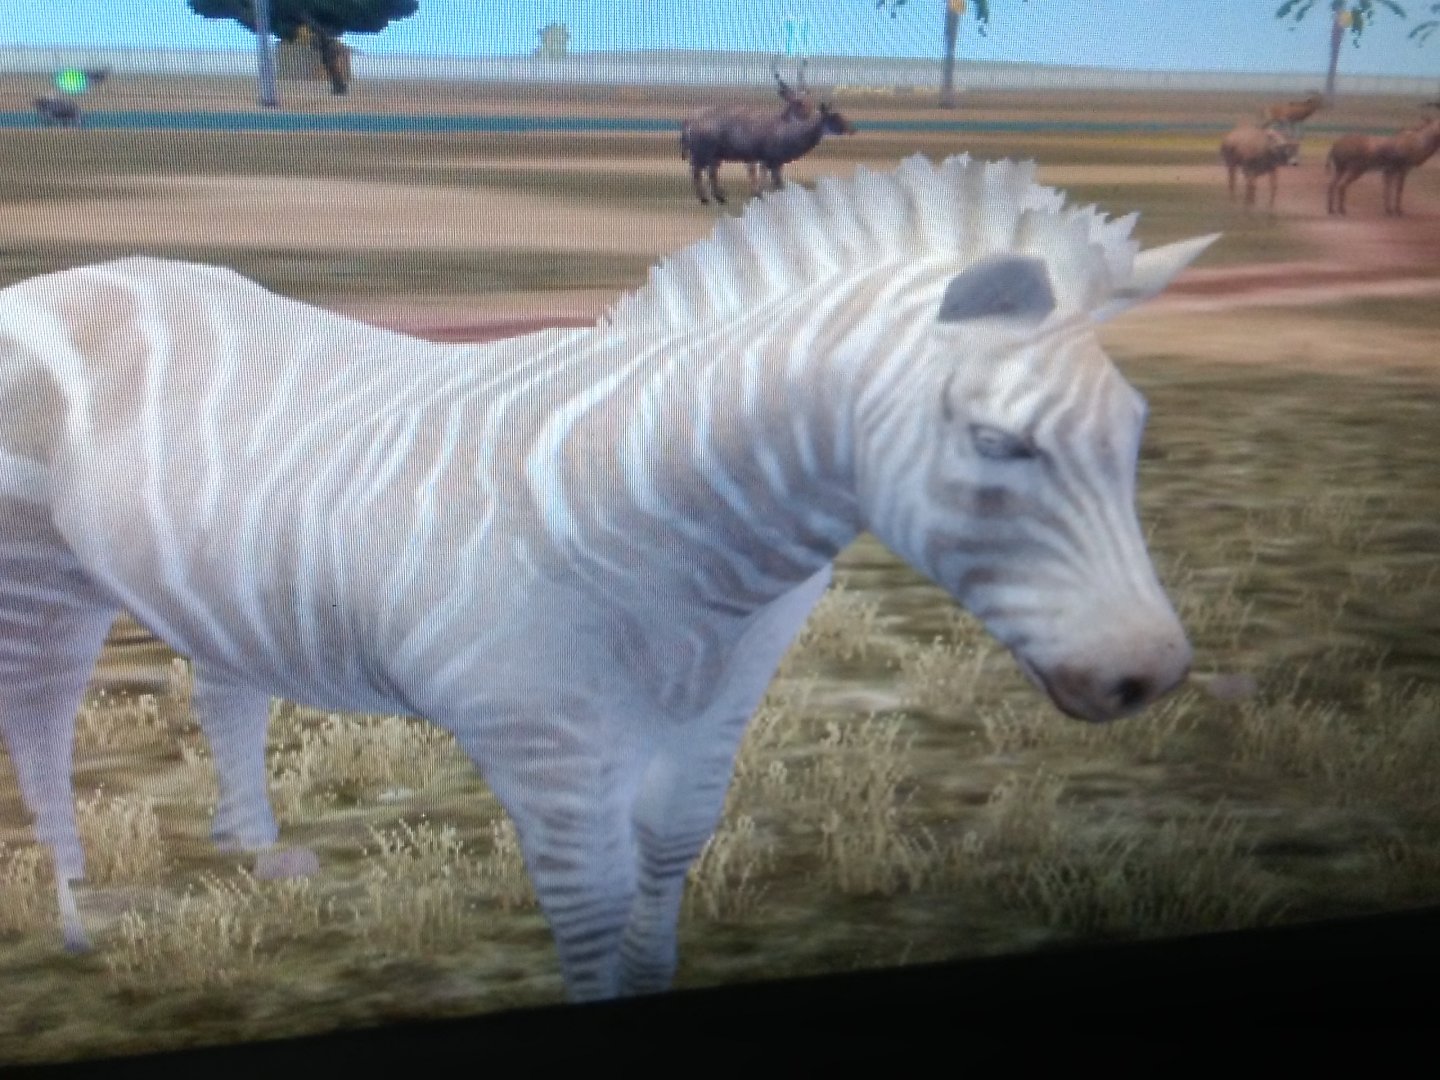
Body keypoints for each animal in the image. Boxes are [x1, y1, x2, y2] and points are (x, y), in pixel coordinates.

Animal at [0, 154, 1211, 1002]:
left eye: (1136, 431)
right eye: (1001, 444)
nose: (1150, 678)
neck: (667, 512)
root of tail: (67, 276)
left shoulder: (719, 706)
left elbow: (668, 859)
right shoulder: (540, 736)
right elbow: (592, 904)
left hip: (214, 571)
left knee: (223, 683)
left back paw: (257, 855)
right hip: (39, 580)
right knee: (42, 731)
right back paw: (77, 916)